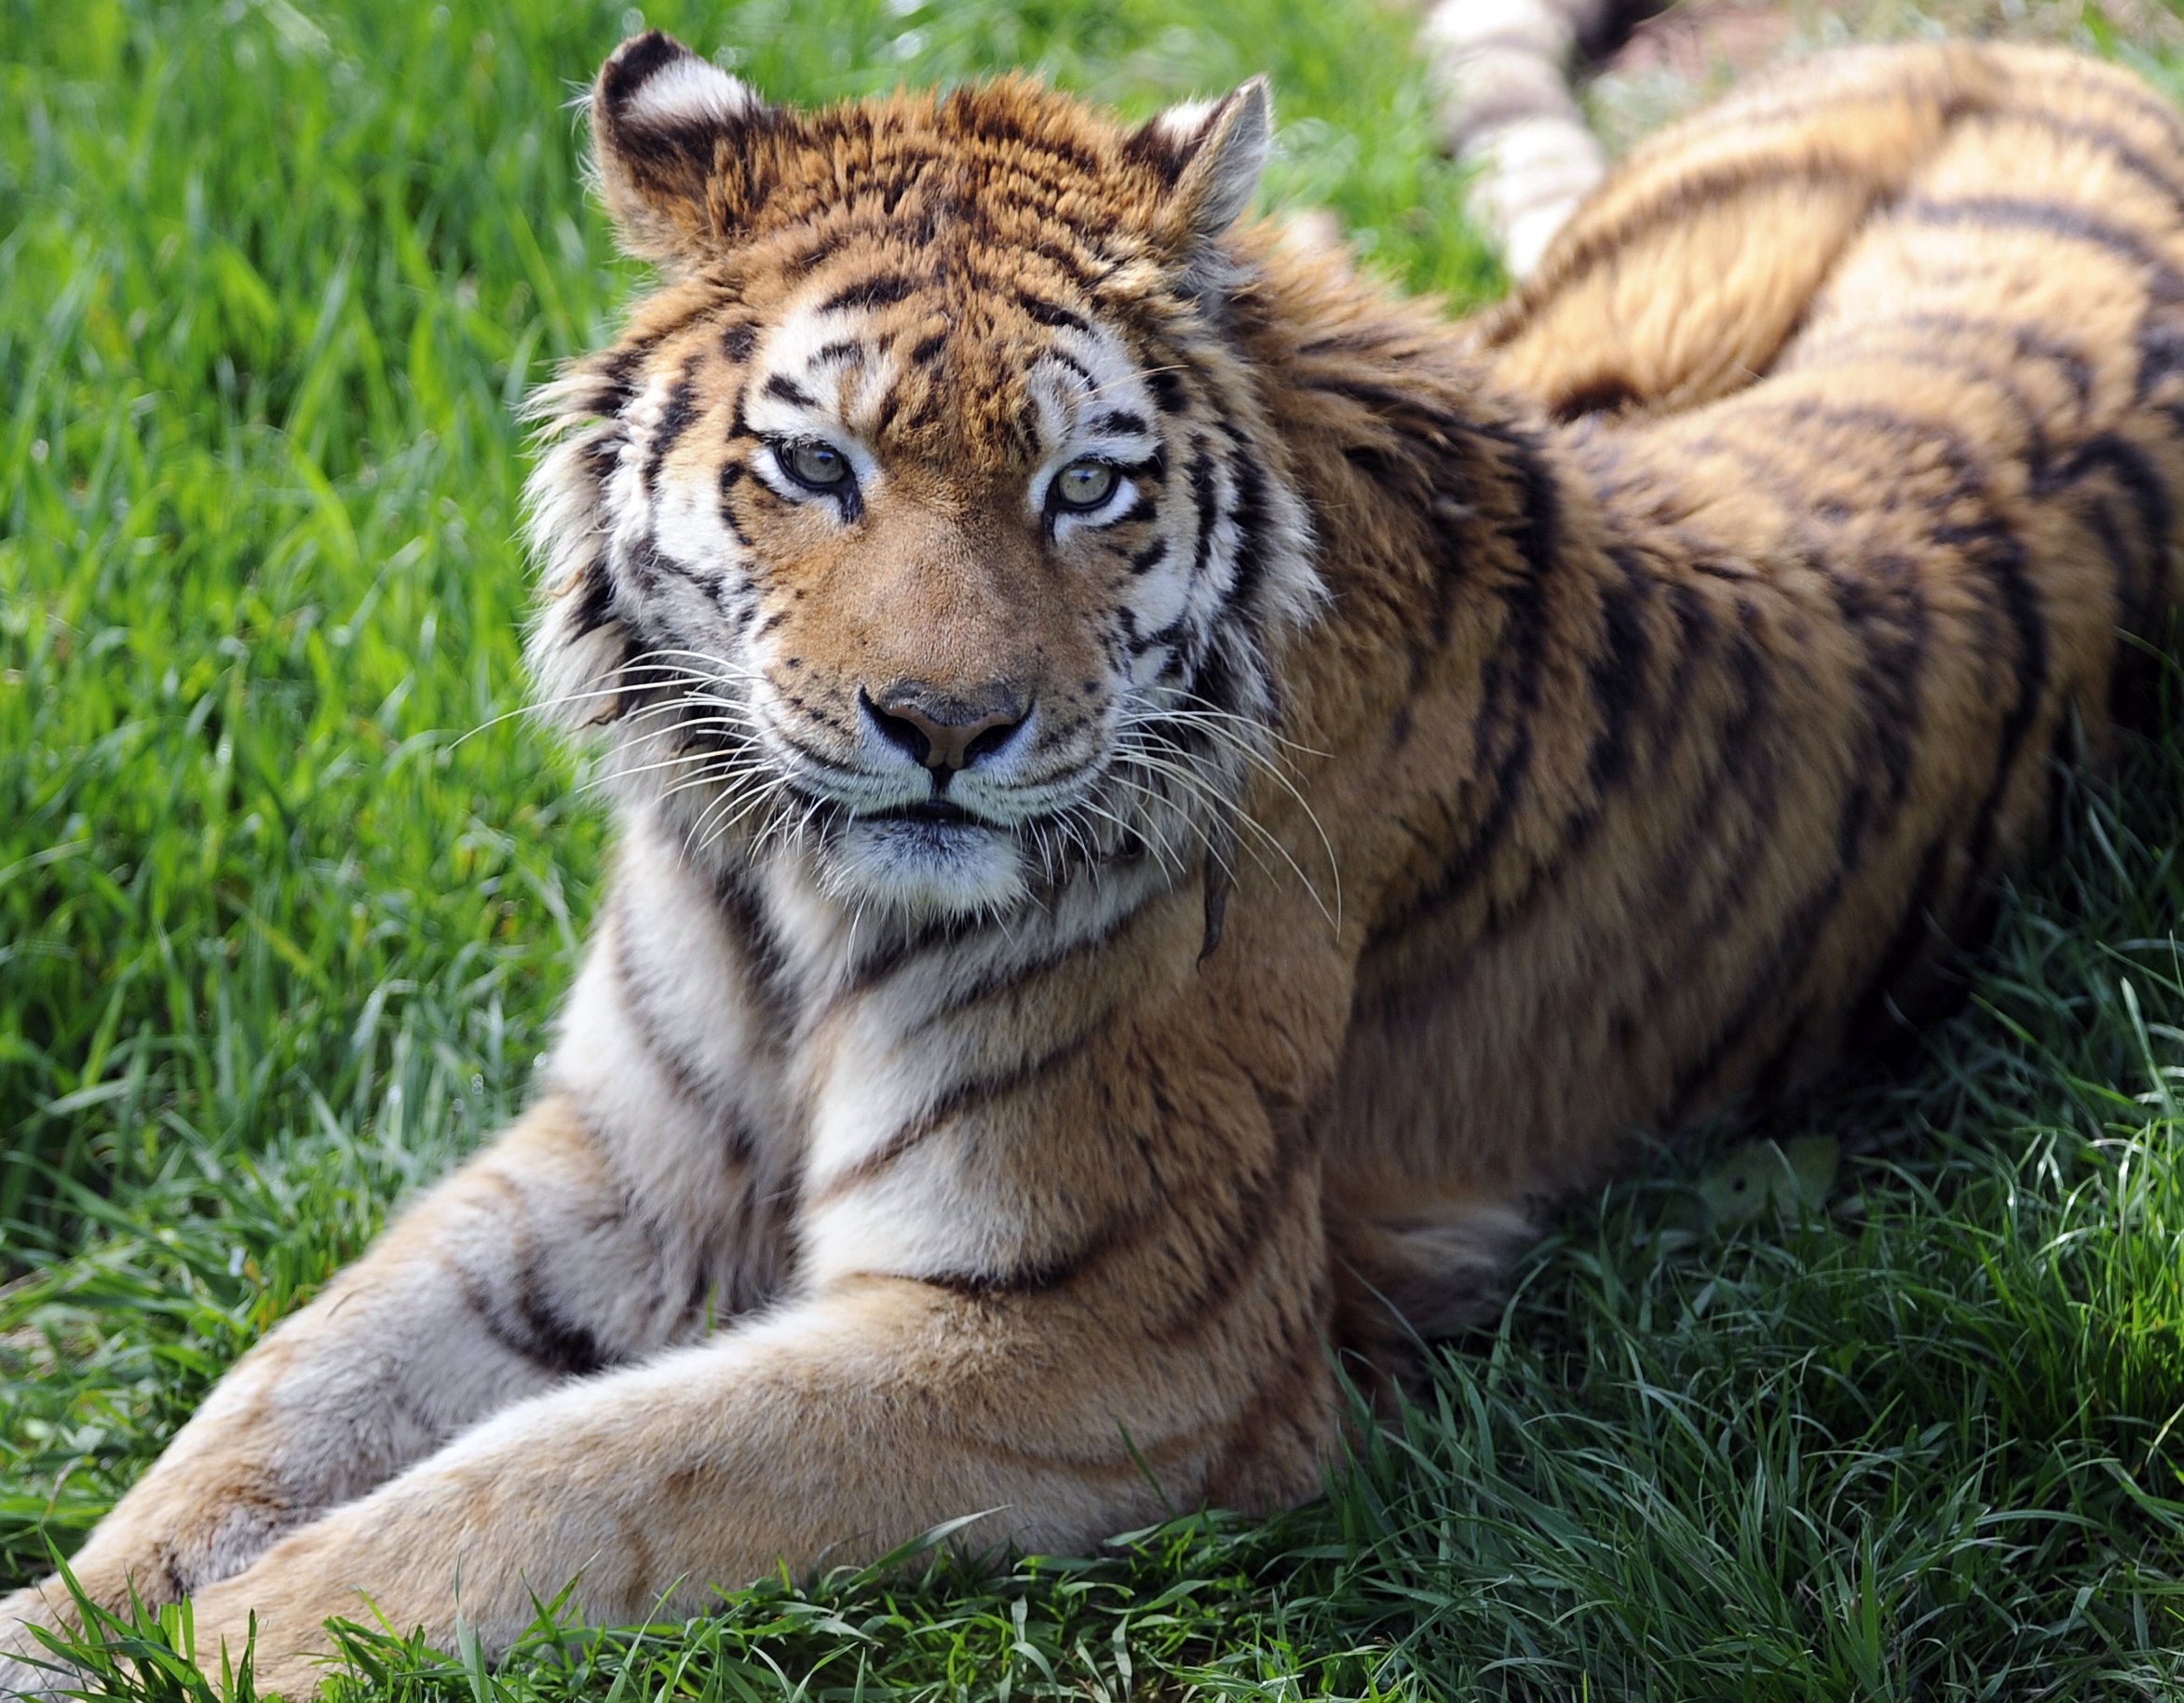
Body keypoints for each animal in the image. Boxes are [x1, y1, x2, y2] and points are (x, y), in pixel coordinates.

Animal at [4, 20, 2184, 1694]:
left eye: (1085, 485)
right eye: (816, 466)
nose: (946, 726)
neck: (790, 899)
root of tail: (2024, 48)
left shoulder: (1086, 1328)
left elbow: (570, 1478)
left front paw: (223, 1646)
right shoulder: (618, 1159)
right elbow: (281, 1391)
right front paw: (70, 1617)